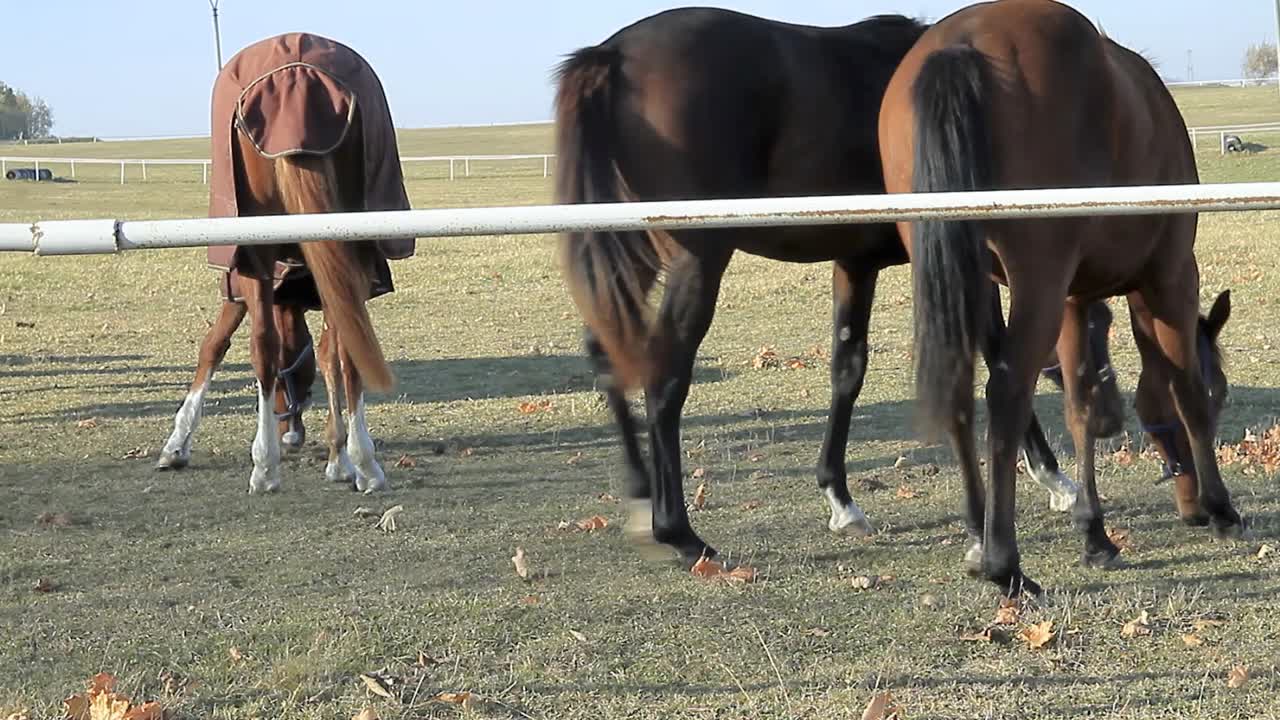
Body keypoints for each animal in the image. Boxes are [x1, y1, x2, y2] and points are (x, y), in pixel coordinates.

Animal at [155, 32, 413, 493]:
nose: (292, 433)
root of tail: (299, 81)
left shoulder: (239, 285)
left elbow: (215, 346)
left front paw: (176, 443)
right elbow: (328, 354)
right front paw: (340, 457)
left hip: (256, 255)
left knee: (268, 344)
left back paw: (279, 465)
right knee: (332, 347)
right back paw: (351, 463)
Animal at [553, 7, 1121, 567]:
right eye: (1100, 323)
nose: (1109, 417)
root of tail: (611, 56)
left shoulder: (856, 264)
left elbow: (847, 369)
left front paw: (840, 499)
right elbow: (996, 350)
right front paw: (1054, 477)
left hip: (631, 252)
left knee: (607, 353)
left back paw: (639, 497)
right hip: (697, 260)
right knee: (664, 376)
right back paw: (680, 533)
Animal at [878, 0, 1245, 596]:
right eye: (1223, 393)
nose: (1189, 504)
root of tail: (961, 44)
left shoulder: (1075, 301)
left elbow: (1082, 408)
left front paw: (1094, 533)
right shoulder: (1170, 278)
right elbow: (1184, 389)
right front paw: (1221, 508)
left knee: (961, 393)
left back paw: (979, 537)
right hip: (1038, 282)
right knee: (1006, 394)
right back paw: (1003, 563)